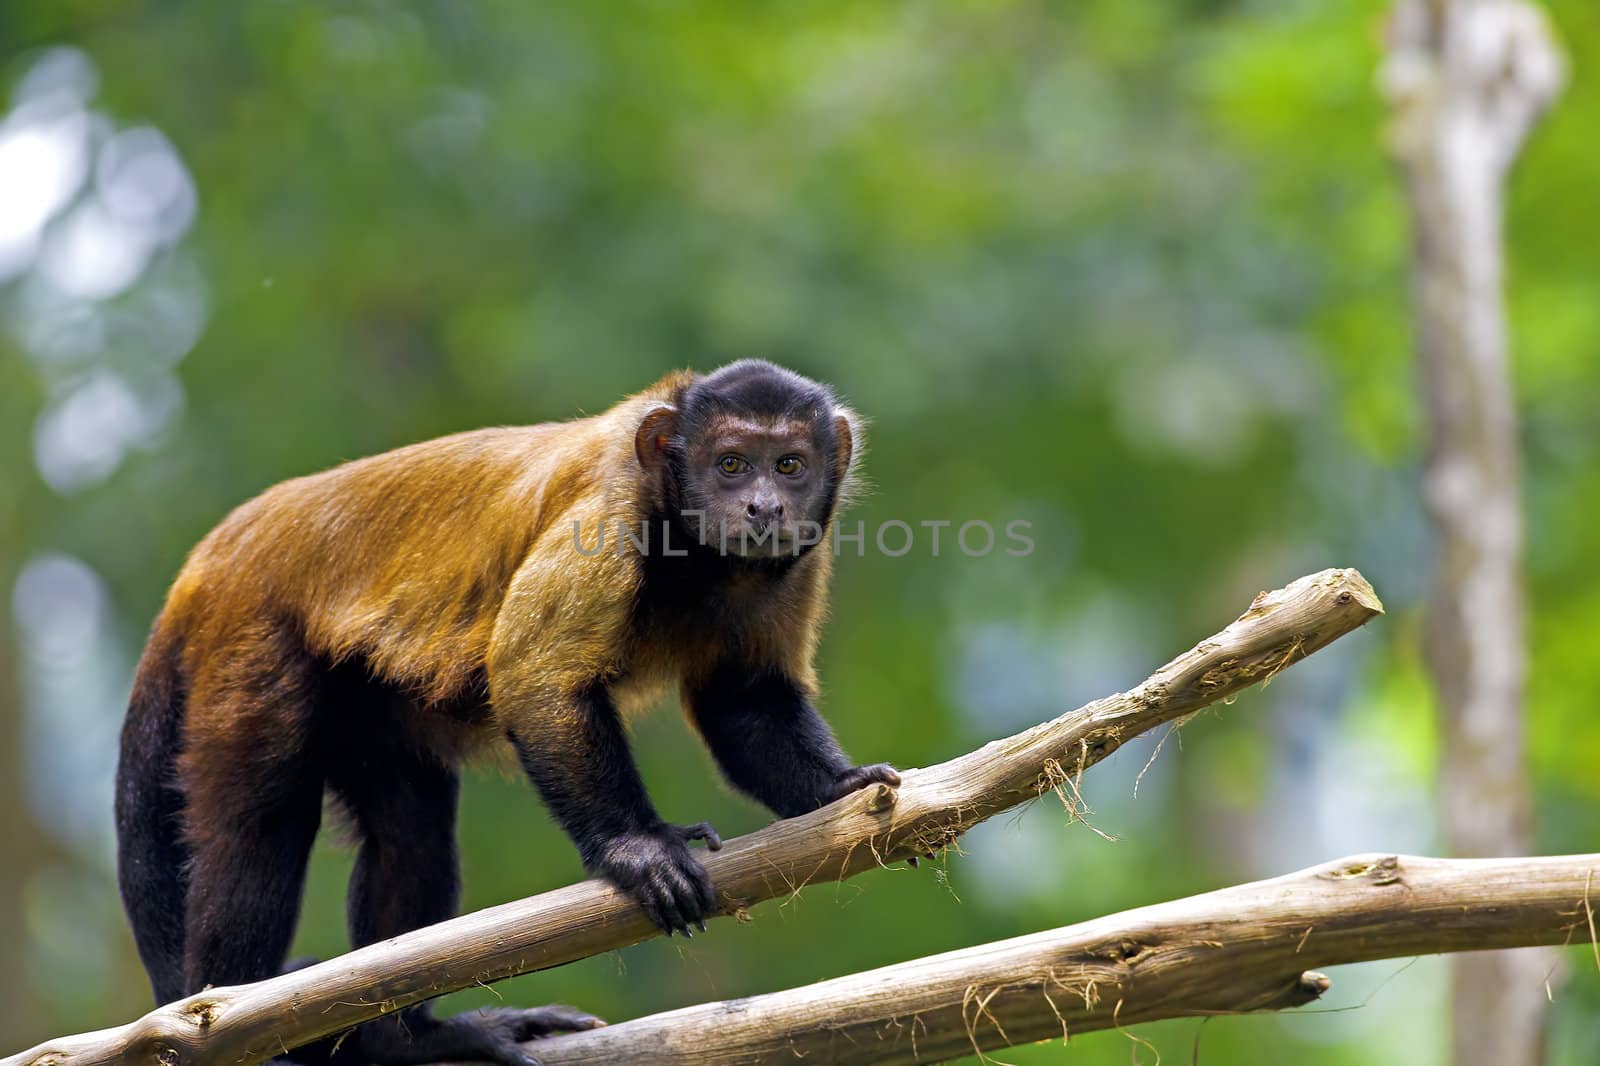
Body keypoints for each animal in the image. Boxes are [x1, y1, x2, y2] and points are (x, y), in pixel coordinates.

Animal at [116, 358, 902, 1062]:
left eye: (791, 465)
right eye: (732, 464)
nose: (765, 505)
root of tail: (218, 554)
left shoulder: (798, 560)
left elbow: (744, 704)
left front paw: (838, 789)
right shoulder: (609, 516)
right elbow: (535, 680)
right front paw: (638, 848)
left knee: (411, 833)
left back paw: (404, 1044)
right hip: (251, 635)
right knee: (262, 825)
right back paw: (234, 1019)